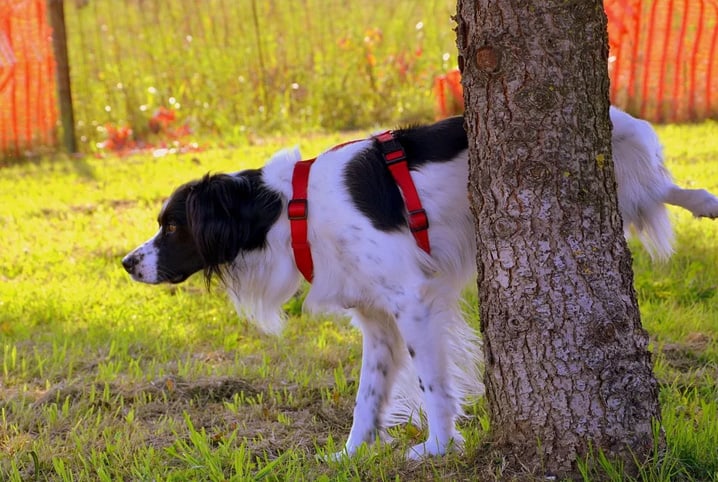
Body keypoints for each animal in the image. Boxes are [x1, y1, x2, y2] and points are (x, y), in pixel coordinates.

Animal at [122, 107, 718, 458]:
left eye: (172, 226)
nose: (127, 263)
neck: (292, 210)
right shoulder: (377, 320)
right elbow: (367, 397)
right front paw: (350, 456)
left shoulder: (413, 302)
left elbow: (433, 385)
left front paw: (438, 447)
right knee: (661, 189)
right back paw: (706, 202)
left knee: (660, 186)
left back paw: (705, 203)